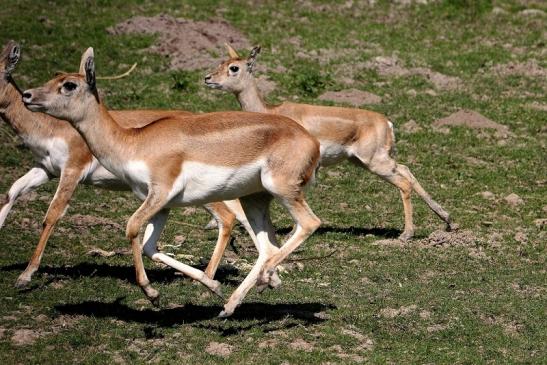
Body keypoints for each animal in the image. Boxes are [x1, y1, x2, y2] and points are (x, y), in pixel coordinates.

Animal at [0, 40, 241, 290]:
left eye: (69, 84)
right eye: (53, 77)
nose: (28, 95)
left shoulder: (73, 169)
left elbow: (53, 214)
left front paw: (25, 275)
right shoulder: (46, 169)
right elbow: (12, 192)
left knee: (227, 217)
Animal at [22, 48, 322, 316]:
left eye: (69, 85)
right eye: (54, 76)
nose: (27, 95)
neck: (134, 142)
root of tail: (311, 140)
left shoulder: (160, 193)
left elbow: (131, 228)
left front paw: (152, 293)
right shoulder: (162, 206)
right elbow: (149, 247)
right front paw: (212, 285)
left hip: (282, 190)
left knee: (309, 224)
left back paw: (264, 279)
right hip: (254, 199)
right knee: (267, 247)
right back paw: (229, 306)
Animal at [206, 44, 458, 239]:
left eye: (234, 67)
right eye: (222, 62)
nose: (207, 78)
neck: (271, 111)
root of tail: (385, 122)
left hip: (375, 163)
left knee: (404, 183)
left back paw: (407, 234)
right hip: (368, 161)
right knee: (407, 171)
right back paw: (448, 221)